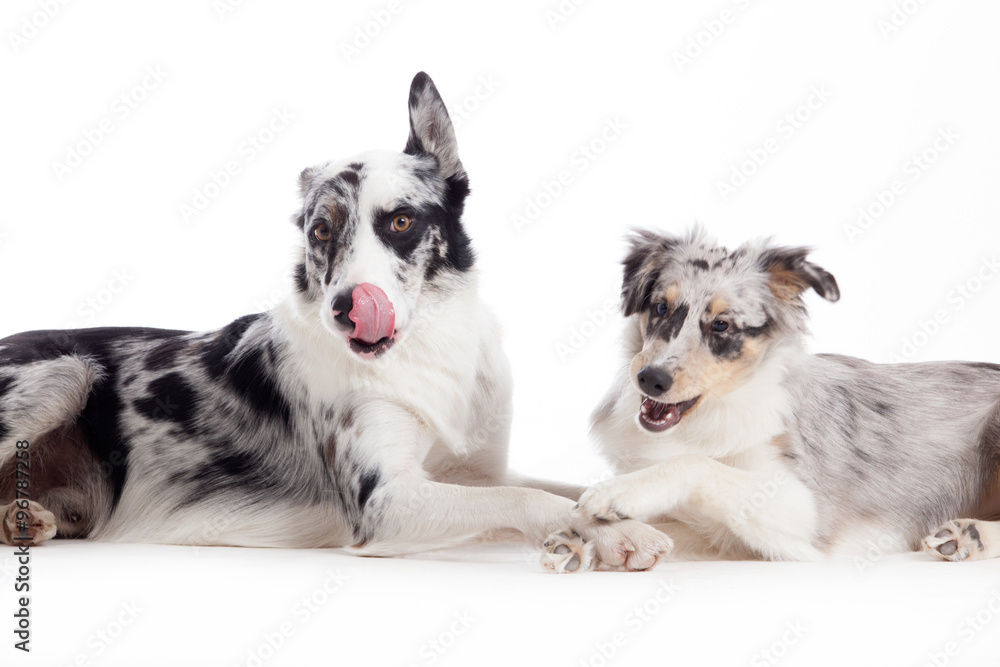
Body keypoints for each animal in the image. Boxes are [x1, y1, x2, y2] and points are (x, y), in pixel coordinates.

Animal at [1, 74, 672, 576]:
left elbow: (568, 489)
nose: (349, 306)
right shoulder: (388, 503)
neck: (427, 349)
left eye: (400, 222)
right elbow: (525, 498)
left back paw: (23, 517)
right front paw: (615, 536)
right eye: (321, 230)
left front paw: (620, 515)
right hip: (63, 372)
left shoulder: (479, 471)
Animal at [540, 227, 1000, 572]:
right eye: (660, 307)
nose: (650, 379)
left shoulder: (804, 511)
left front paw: (617, 493)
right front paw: (588, 543)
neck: (708, 418)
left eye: (722, 325)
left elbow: (694, 464)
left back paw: (970, 534)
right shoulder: (727, 537)